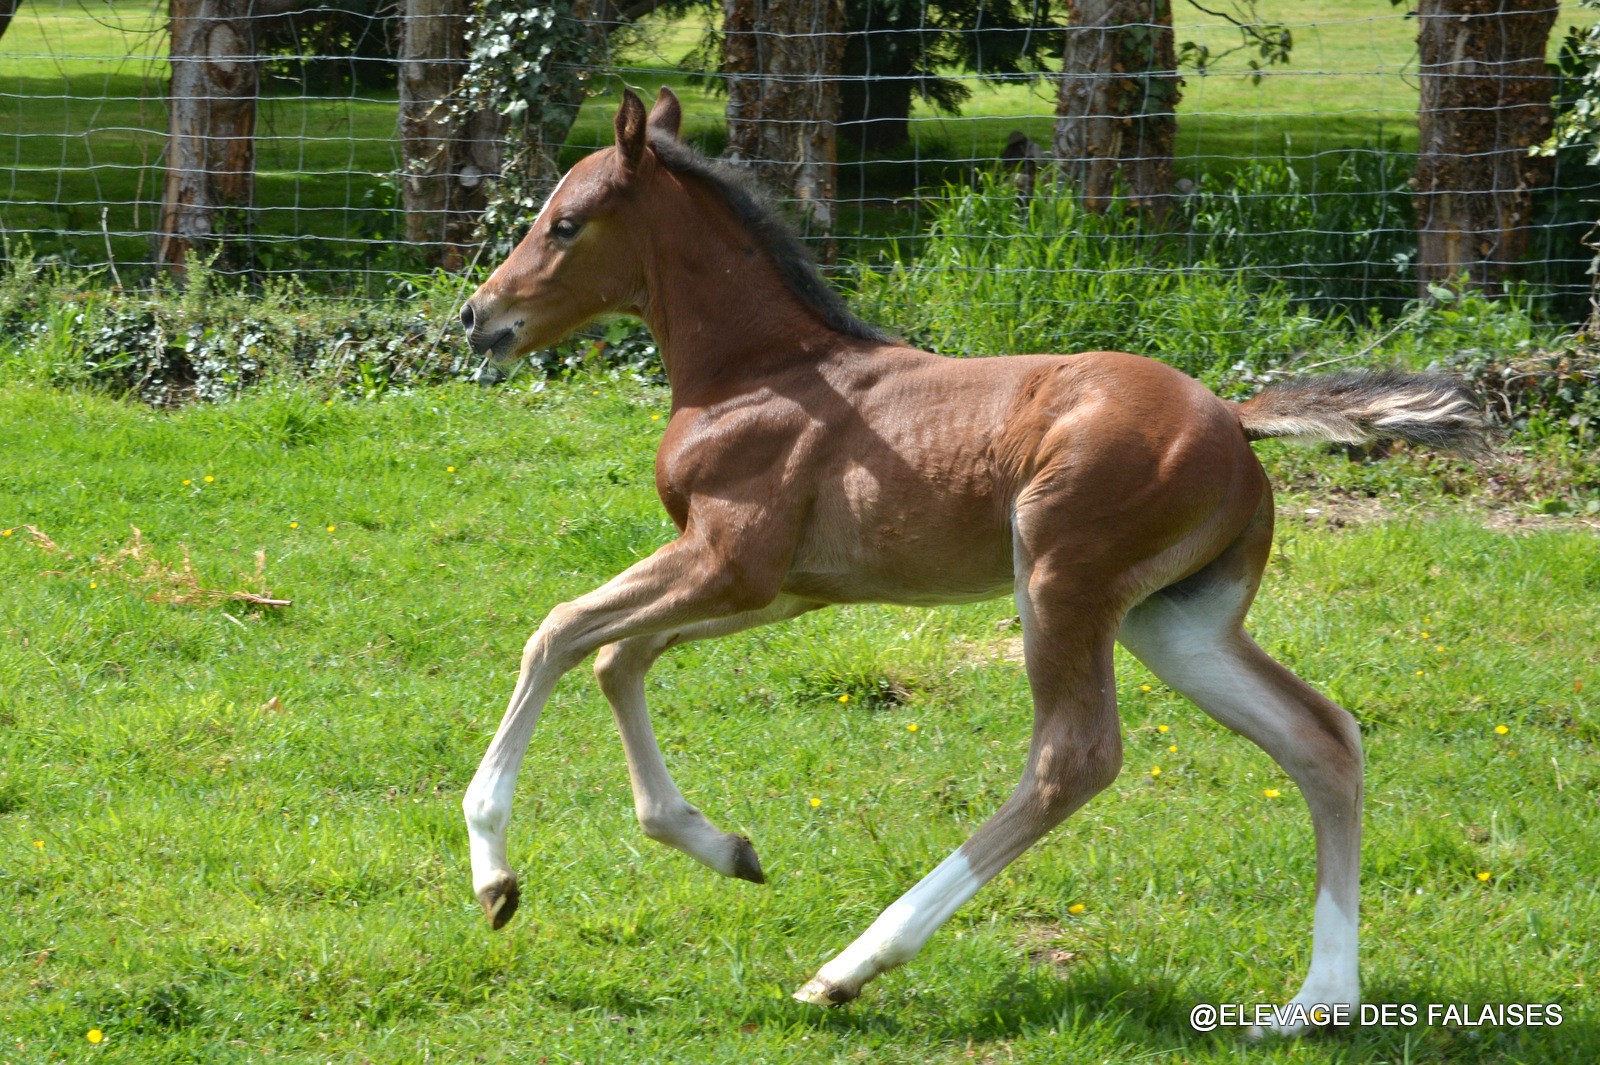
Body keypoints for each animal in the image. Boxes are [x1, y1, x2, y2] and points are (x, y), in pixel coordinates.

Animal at [457, 91, 1478, 1029]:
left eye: (564, 222)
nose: (477, 315)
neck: (751, 372)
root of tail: (1235, 419)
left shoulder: (726, 560)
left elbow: (558, 632)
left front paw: (495, 873)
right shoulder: (783, 589)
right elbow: (616, 657)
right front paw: (723, 847)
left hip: (1060, 580)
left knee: (1074, 758)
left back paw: (852, 964)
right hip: (1176, 622)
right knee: (1321, 736)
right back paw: (1317, 1001)